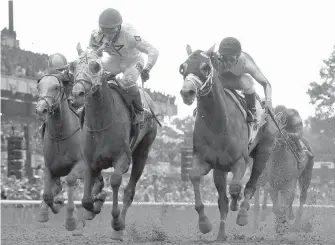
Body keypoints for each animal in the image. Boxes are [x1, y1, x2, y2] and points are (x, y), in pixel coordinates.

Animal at [34, 73, 105, 235]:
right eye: (39, 87)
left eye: (56, 87)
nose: (41, 110)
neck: (60, 135)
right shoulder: (49, 166)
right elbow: (48, 195)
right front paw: (53, 206)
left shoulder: (81, 165)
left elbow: (70, 180)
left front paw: (71, 220)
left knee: (98, 184)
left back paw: (95, 205)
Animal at [70, 45, 159, 240]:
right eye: (73, 66)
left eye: (96, 66)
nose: (77, 94)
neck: (101, 123)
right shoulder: (90, 161)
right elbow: (87, 199)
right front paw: (94, 206)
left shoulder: (122, 159)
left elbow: (116, 180)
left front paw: (116, 220)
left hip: (143, 152)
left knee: (129, 191)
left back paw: (119, 229)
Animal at [180, 45, 276, 240]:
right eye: (183, 68)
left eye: (205, 67)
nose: (187, 92)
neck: (217, 124)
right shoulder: (204, 159)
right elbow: (194, 176)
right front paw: (204, 224)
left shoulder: (241, 161)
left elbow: (236, 187)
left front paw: (237, 206)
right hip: (220, 168)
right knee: (223, 199)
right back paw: (221, 235)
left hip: (263, 153)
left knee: (251, 184)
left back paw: (242, 213)